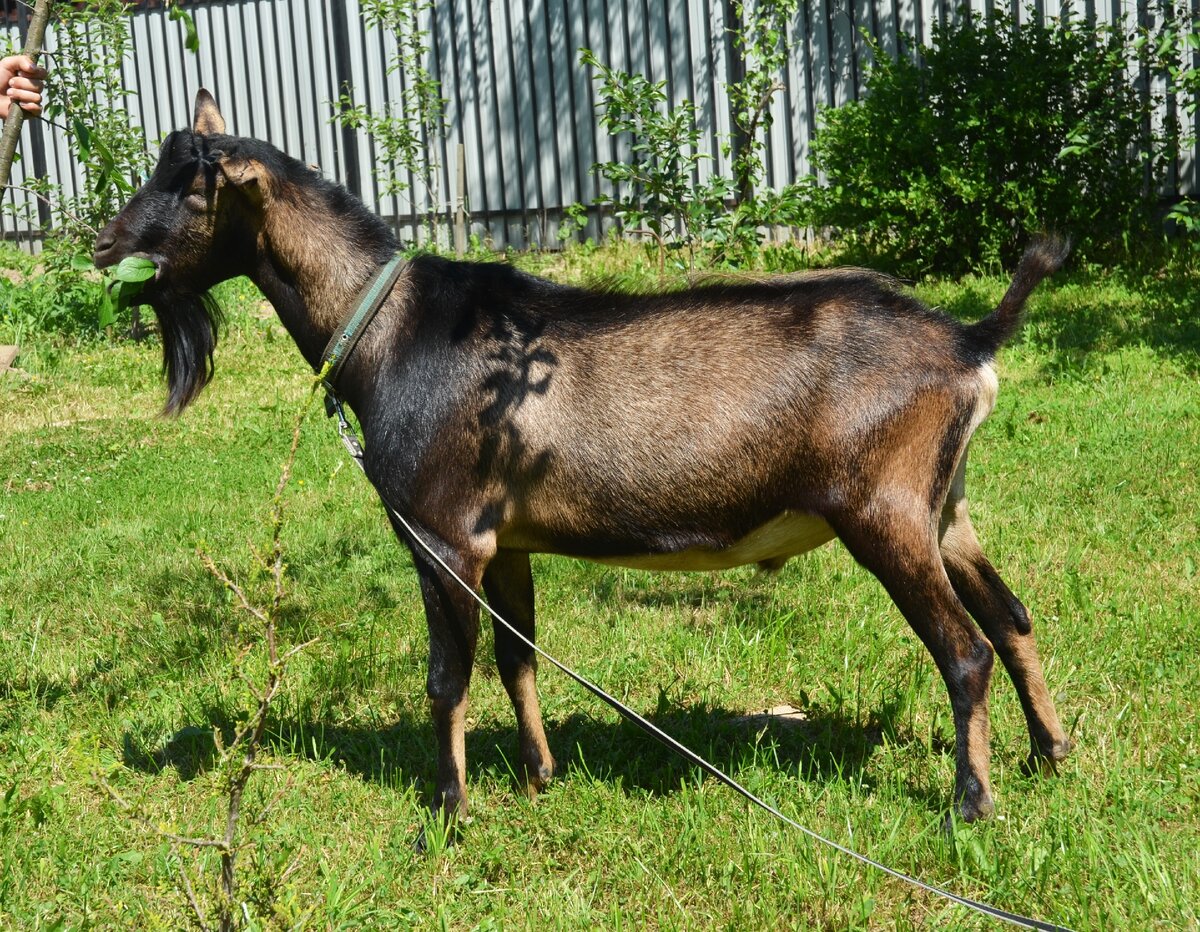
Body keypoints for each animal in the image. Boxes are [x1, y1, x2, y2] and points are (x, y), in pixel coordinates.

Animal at [93, 91, 1070, 825]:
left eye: (192, 189)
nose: (102, 245)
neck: (387, 330)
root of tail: (970, 341)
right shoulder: (506, 539)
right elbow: (517, 656)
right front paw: (538, 778)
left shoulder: (443, 535)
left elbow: (447, 677)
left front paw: (447, 812)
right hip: (944, 505)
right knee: (1013, 618)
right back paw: (1049, 755)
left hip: (881, 508)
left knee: (966, 650)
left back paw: (970, 805)